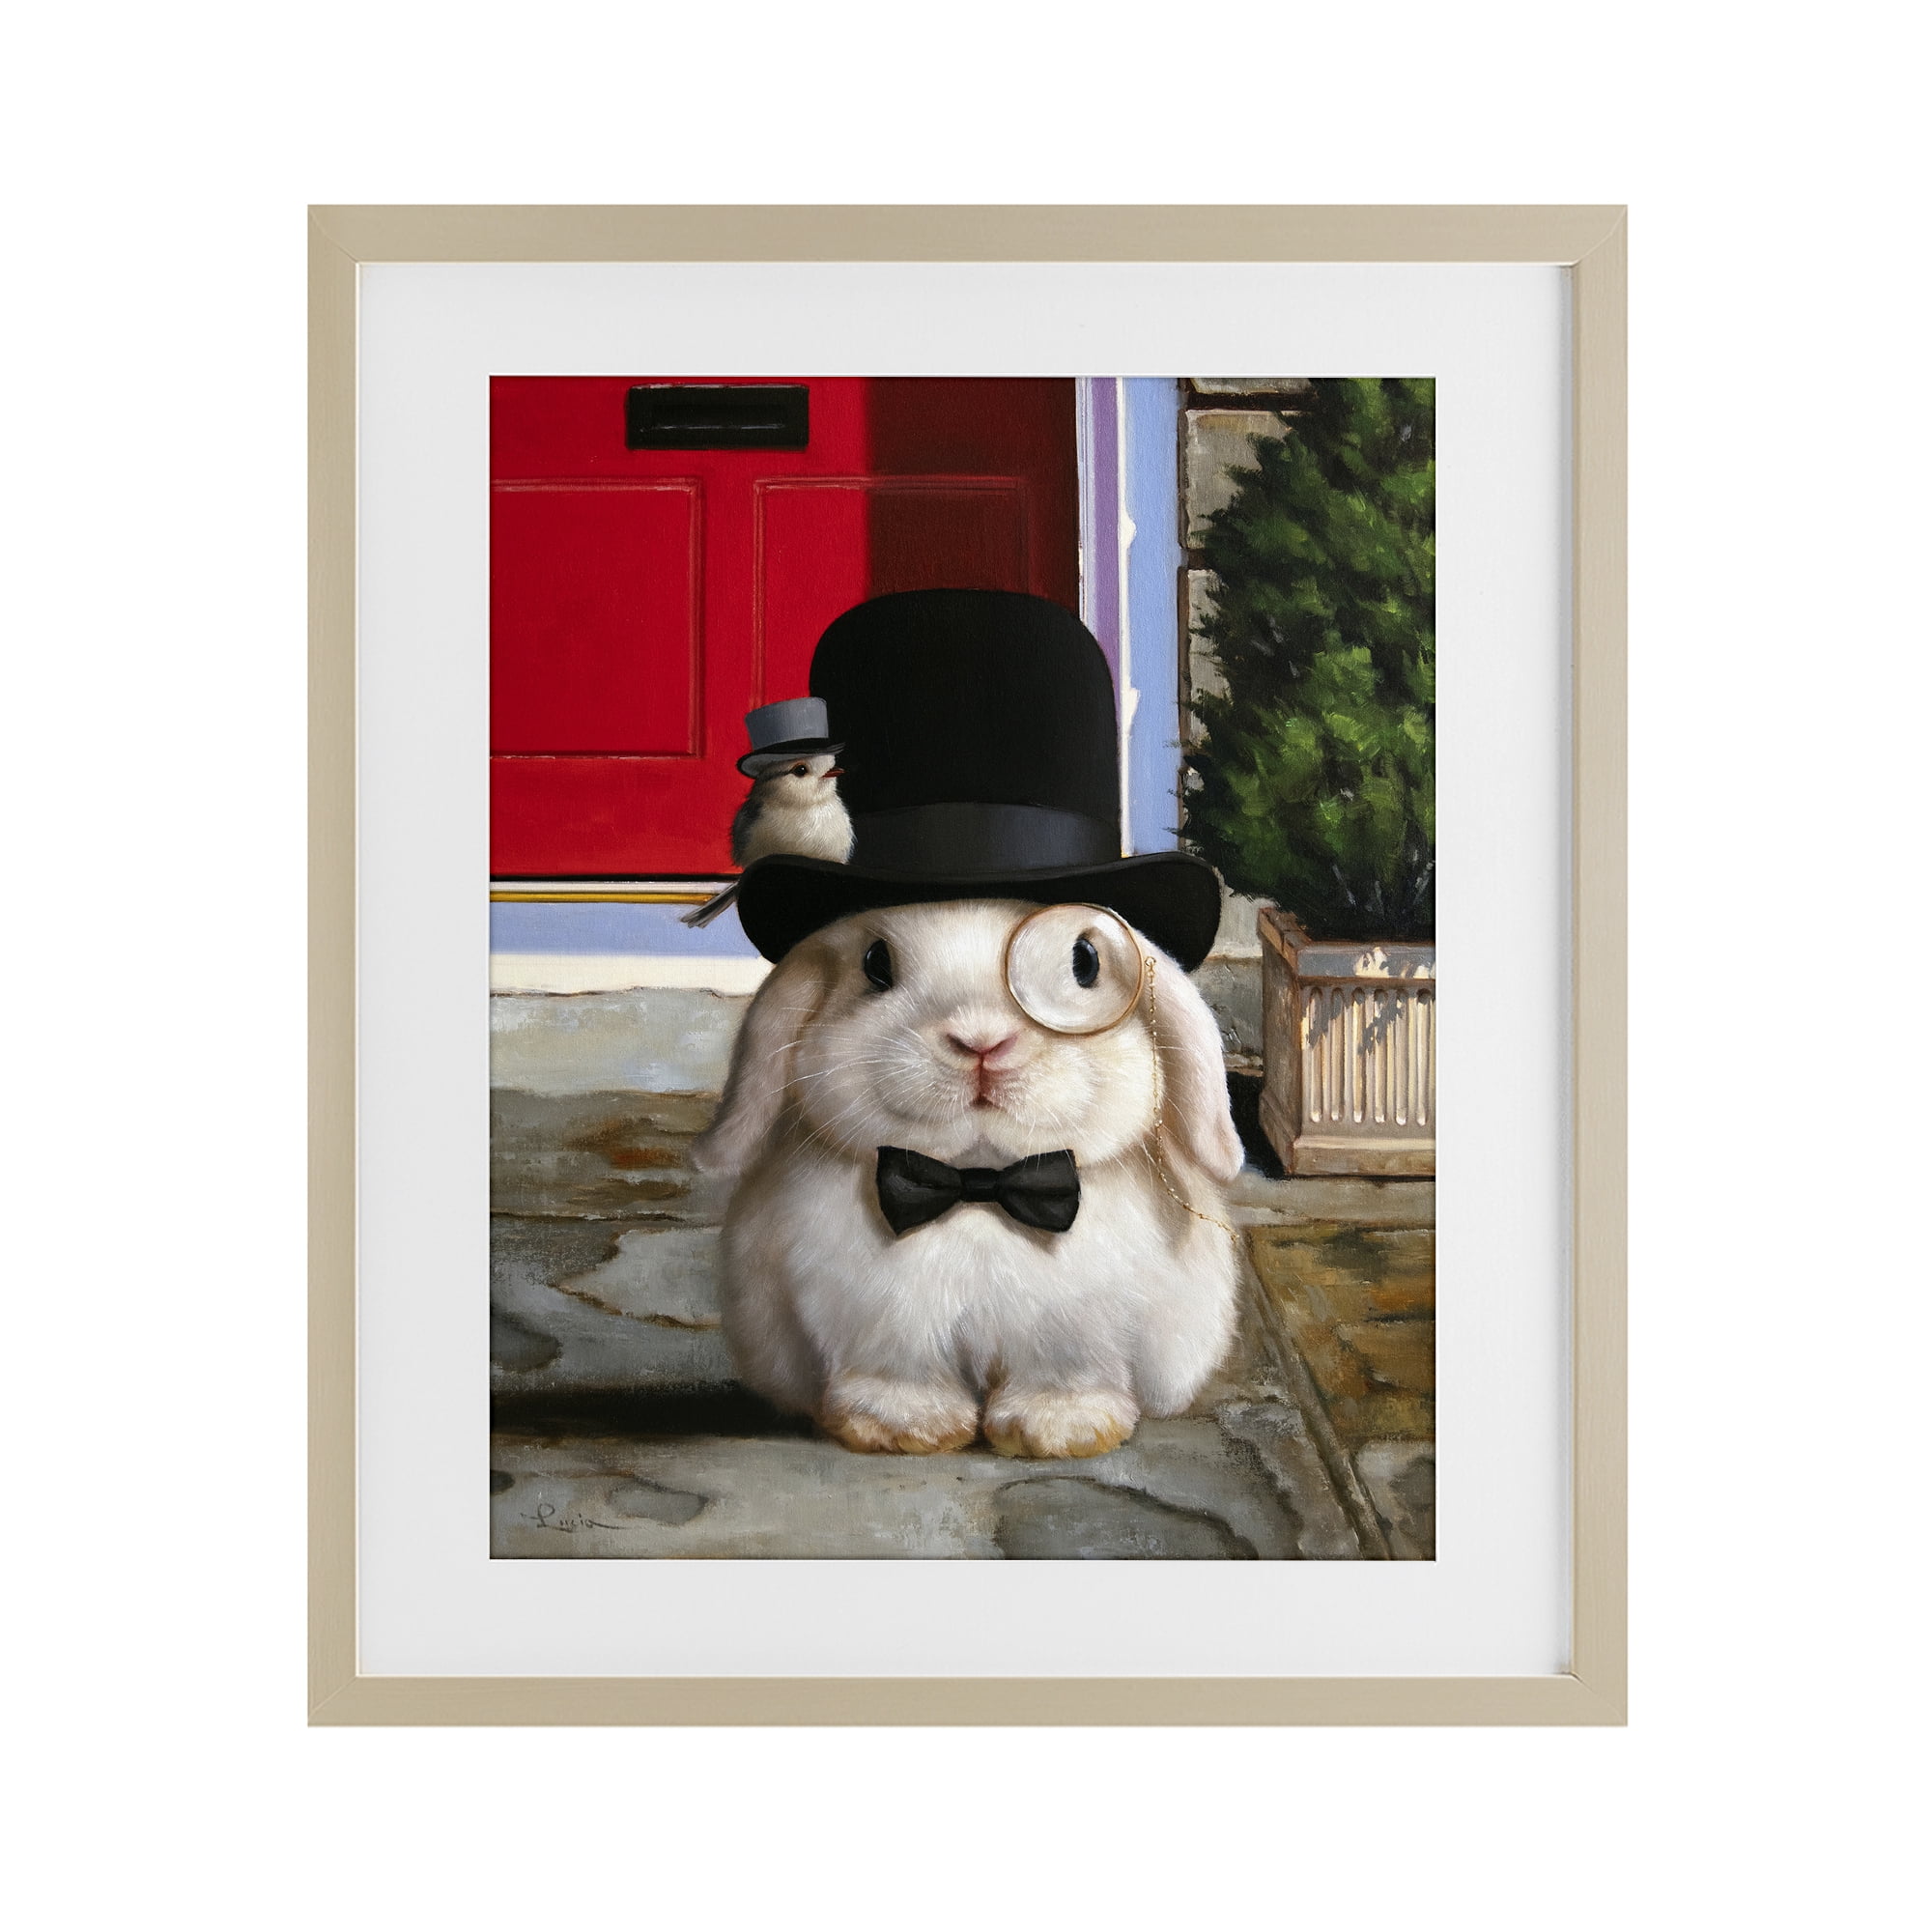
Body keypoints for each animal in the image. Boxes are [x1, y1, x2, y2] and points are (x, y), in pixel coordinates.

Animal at [689, 898, 1245, 1459]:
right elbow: (898, 1378)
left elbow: (1066, 1379)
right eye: (876, 964)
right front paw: (903, 1429)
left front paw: (1059, 1431)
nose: (982, 1040)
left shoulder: (1076, 1338)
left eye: (1085, 961)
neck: (979, 1187)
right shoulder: (882, 1331)